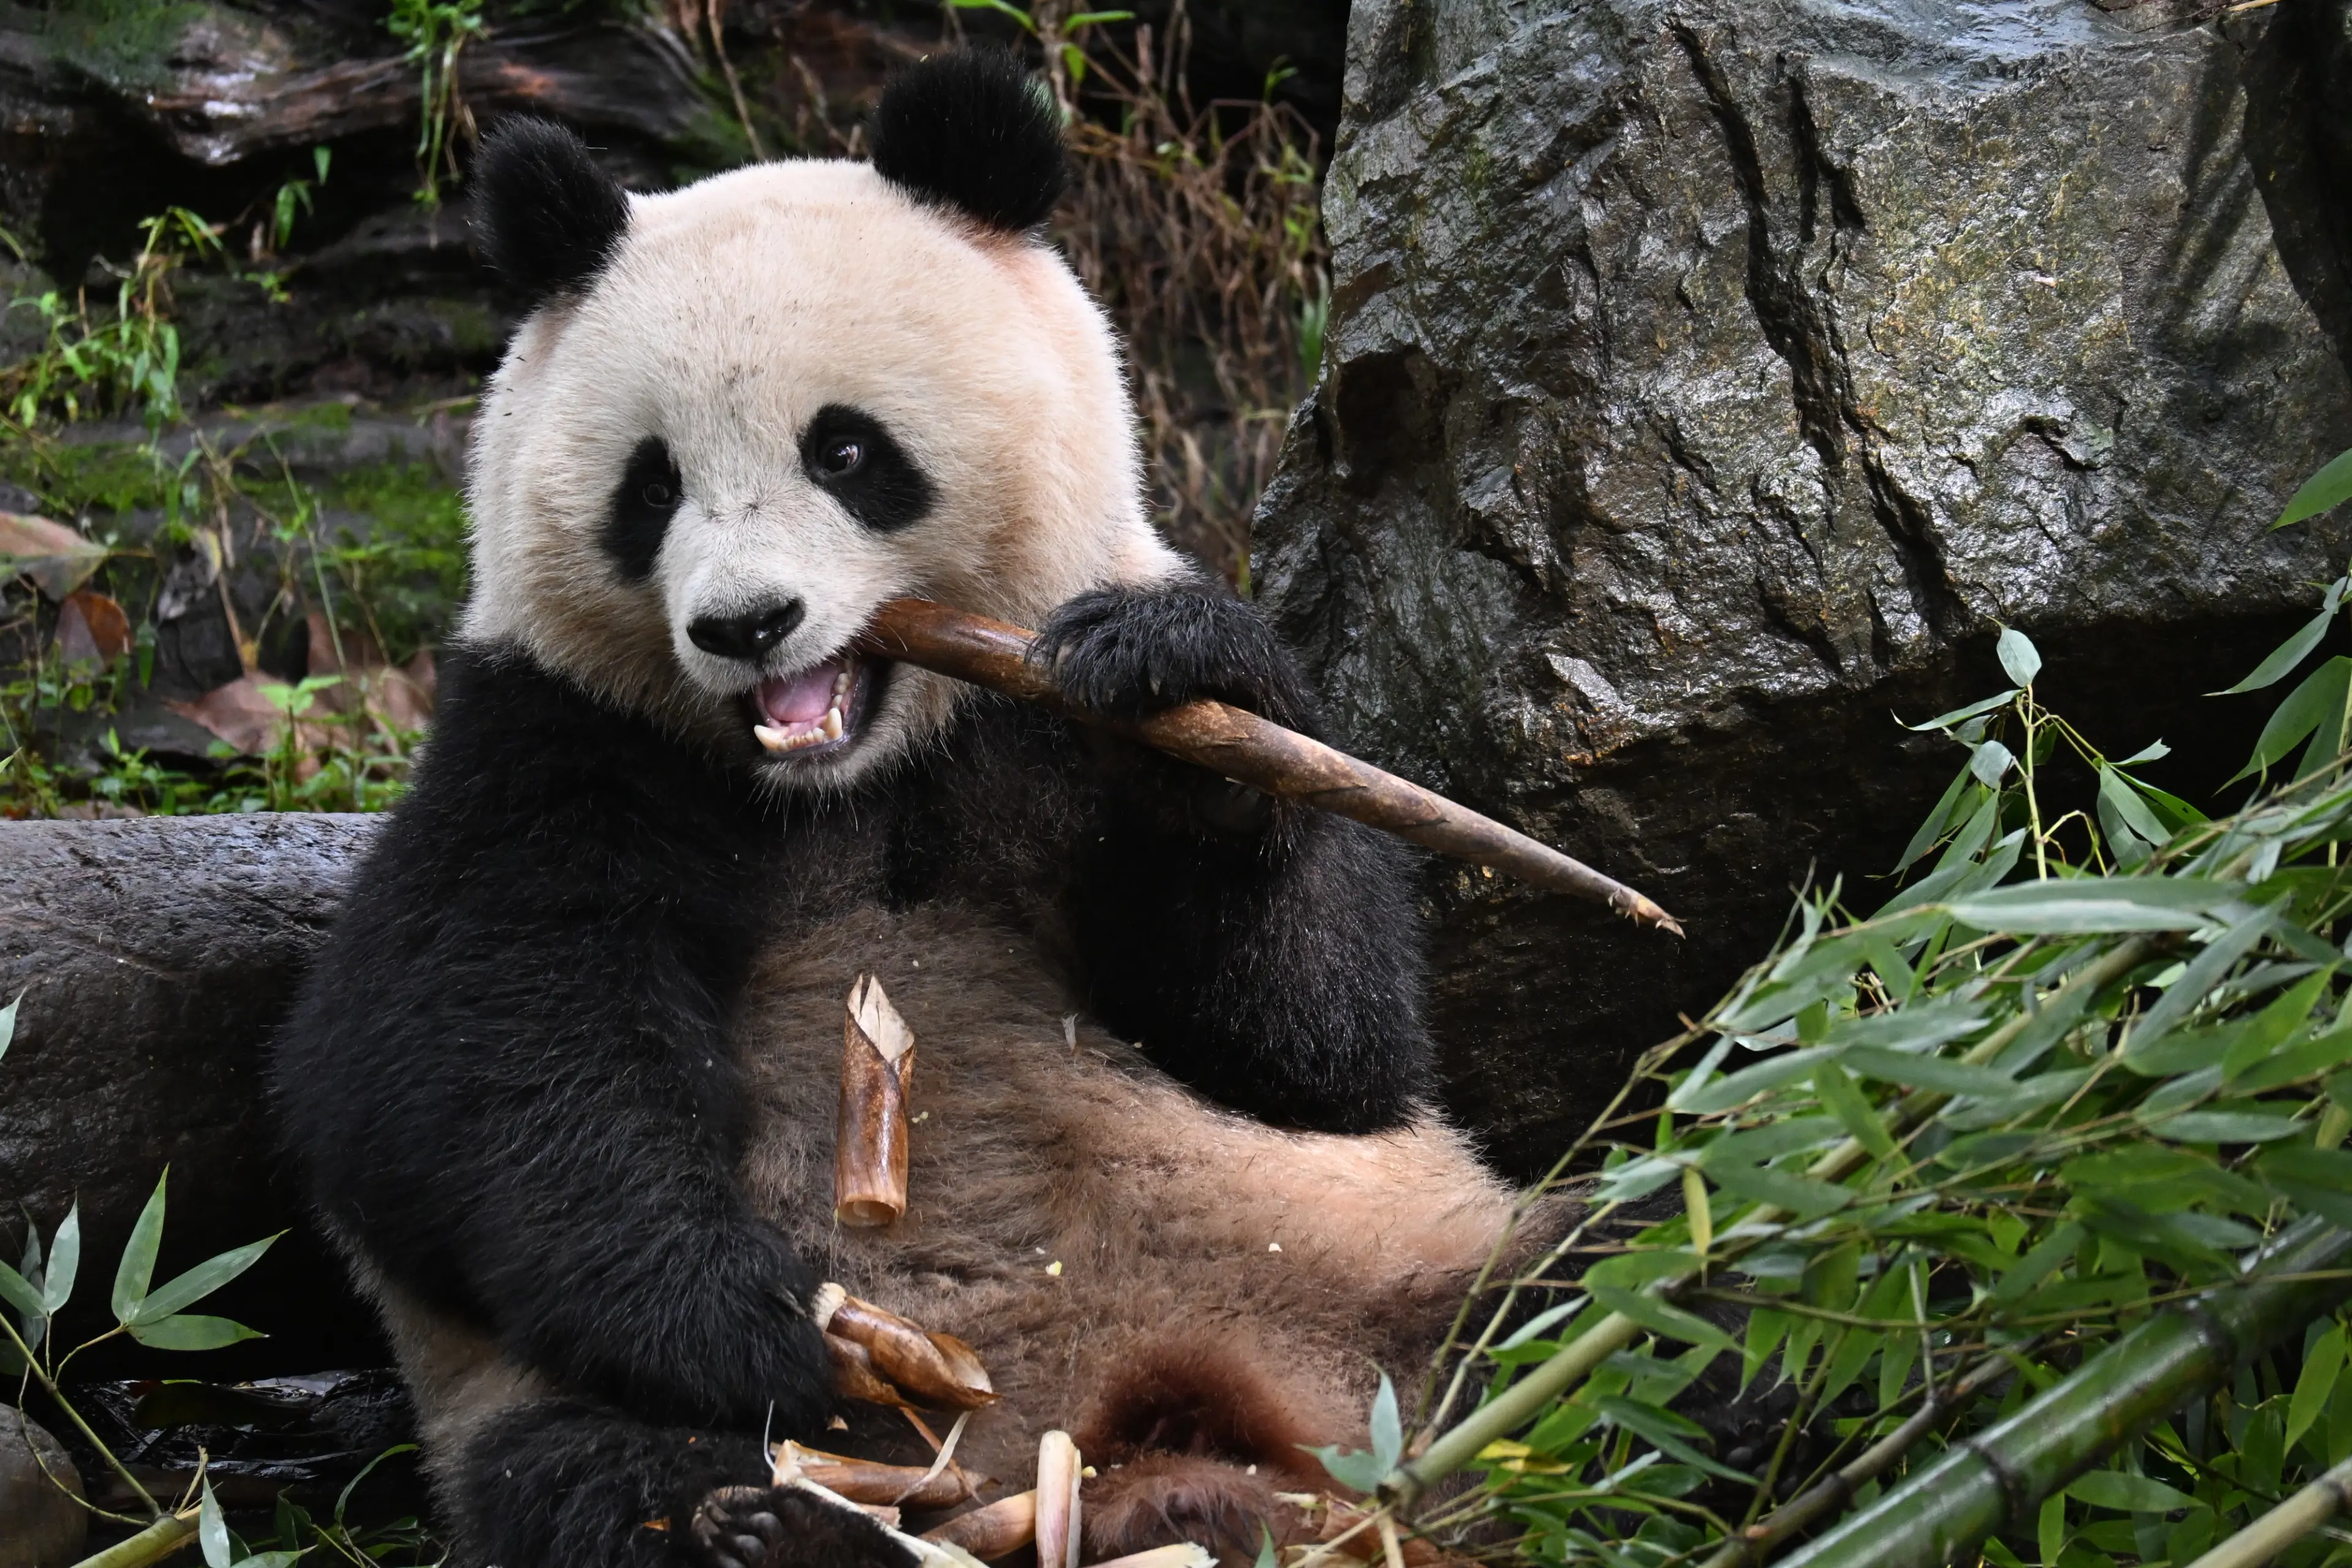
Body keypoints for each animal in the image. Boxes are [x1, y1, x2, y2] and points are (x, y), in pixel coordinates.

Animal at [272, 49, 1556, 1568]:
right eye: (651, 485)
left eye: (844, 450)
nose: (747, 623)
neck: (852, 775)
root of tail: (1109, 1441)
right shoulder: (550, 740)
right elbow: (443, 1064)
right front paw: (748, 1317)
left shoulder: (1050, 714)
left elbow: (1323, 1052)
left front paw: (1182, 686)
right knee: (589, 1479)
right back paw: (775, 1514)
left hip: (1380, 1282)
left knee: (1622, 1281)